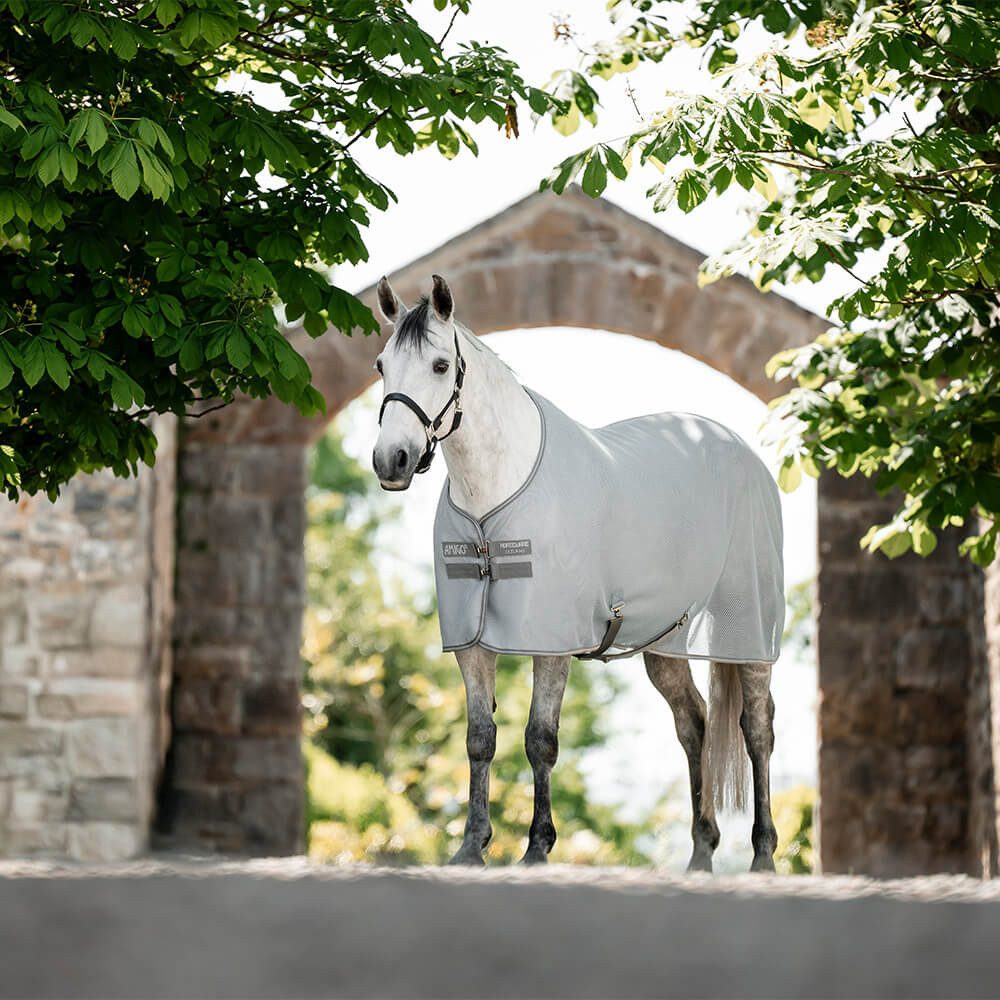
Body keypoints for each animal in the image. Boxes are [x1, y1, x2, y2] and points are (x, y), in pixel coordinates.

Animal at [371, 273, 783, 873]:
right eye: (381, 365)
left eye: (441, 366)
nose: (391, 460)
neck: (496, 494)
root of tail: (742, 454)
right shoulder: (472, 643)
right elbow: (480, 738)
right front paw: (471, 847)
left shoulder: (551, 641)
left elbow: (540, 738)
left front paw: (537, 847)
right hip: (667, 645)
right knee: (695, 724)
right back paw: (701, 854)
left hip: (749, 635)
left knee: (756, 729)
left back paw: (763, 854)